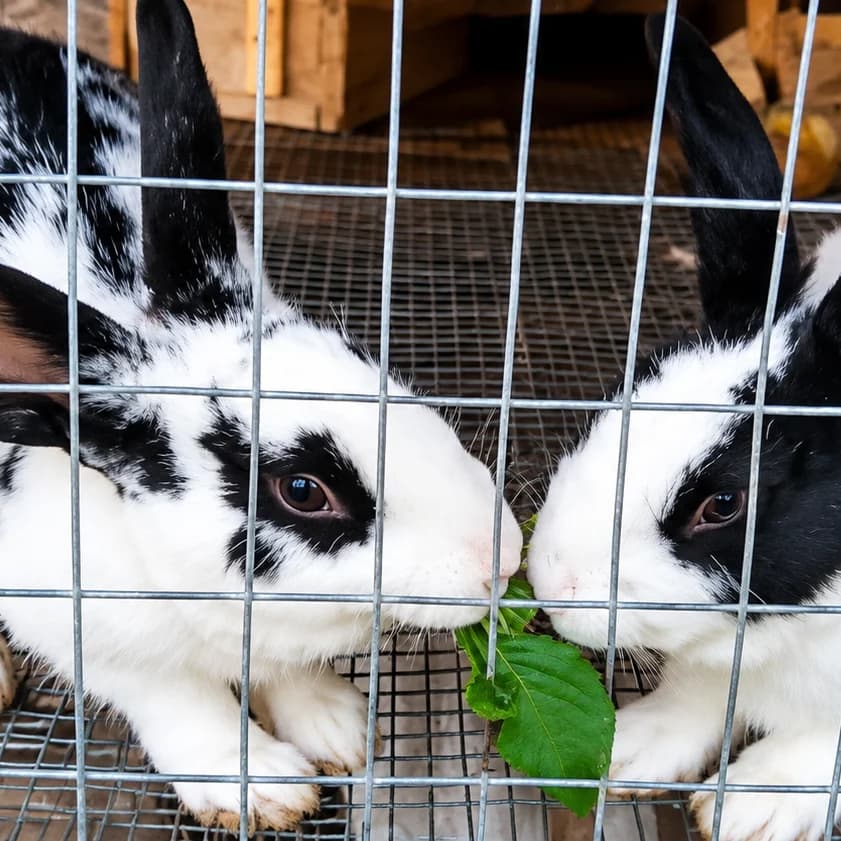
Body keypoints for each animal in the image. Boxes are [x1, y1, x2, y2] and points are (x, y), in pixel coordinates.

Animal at [0, 0, 523, 832]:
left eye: (371, 367)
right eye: (303, 490)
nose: (501, 557)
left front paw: (339, 728)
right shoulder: (81, 629)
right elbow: (180, 702)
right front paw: (261, 788)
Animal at [527, 12, 841, 841]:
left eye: (722, 503)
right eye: (622, 389)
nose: (553, 585)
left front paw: (753, 807)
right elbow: (699, 689)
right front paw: (629, 751)